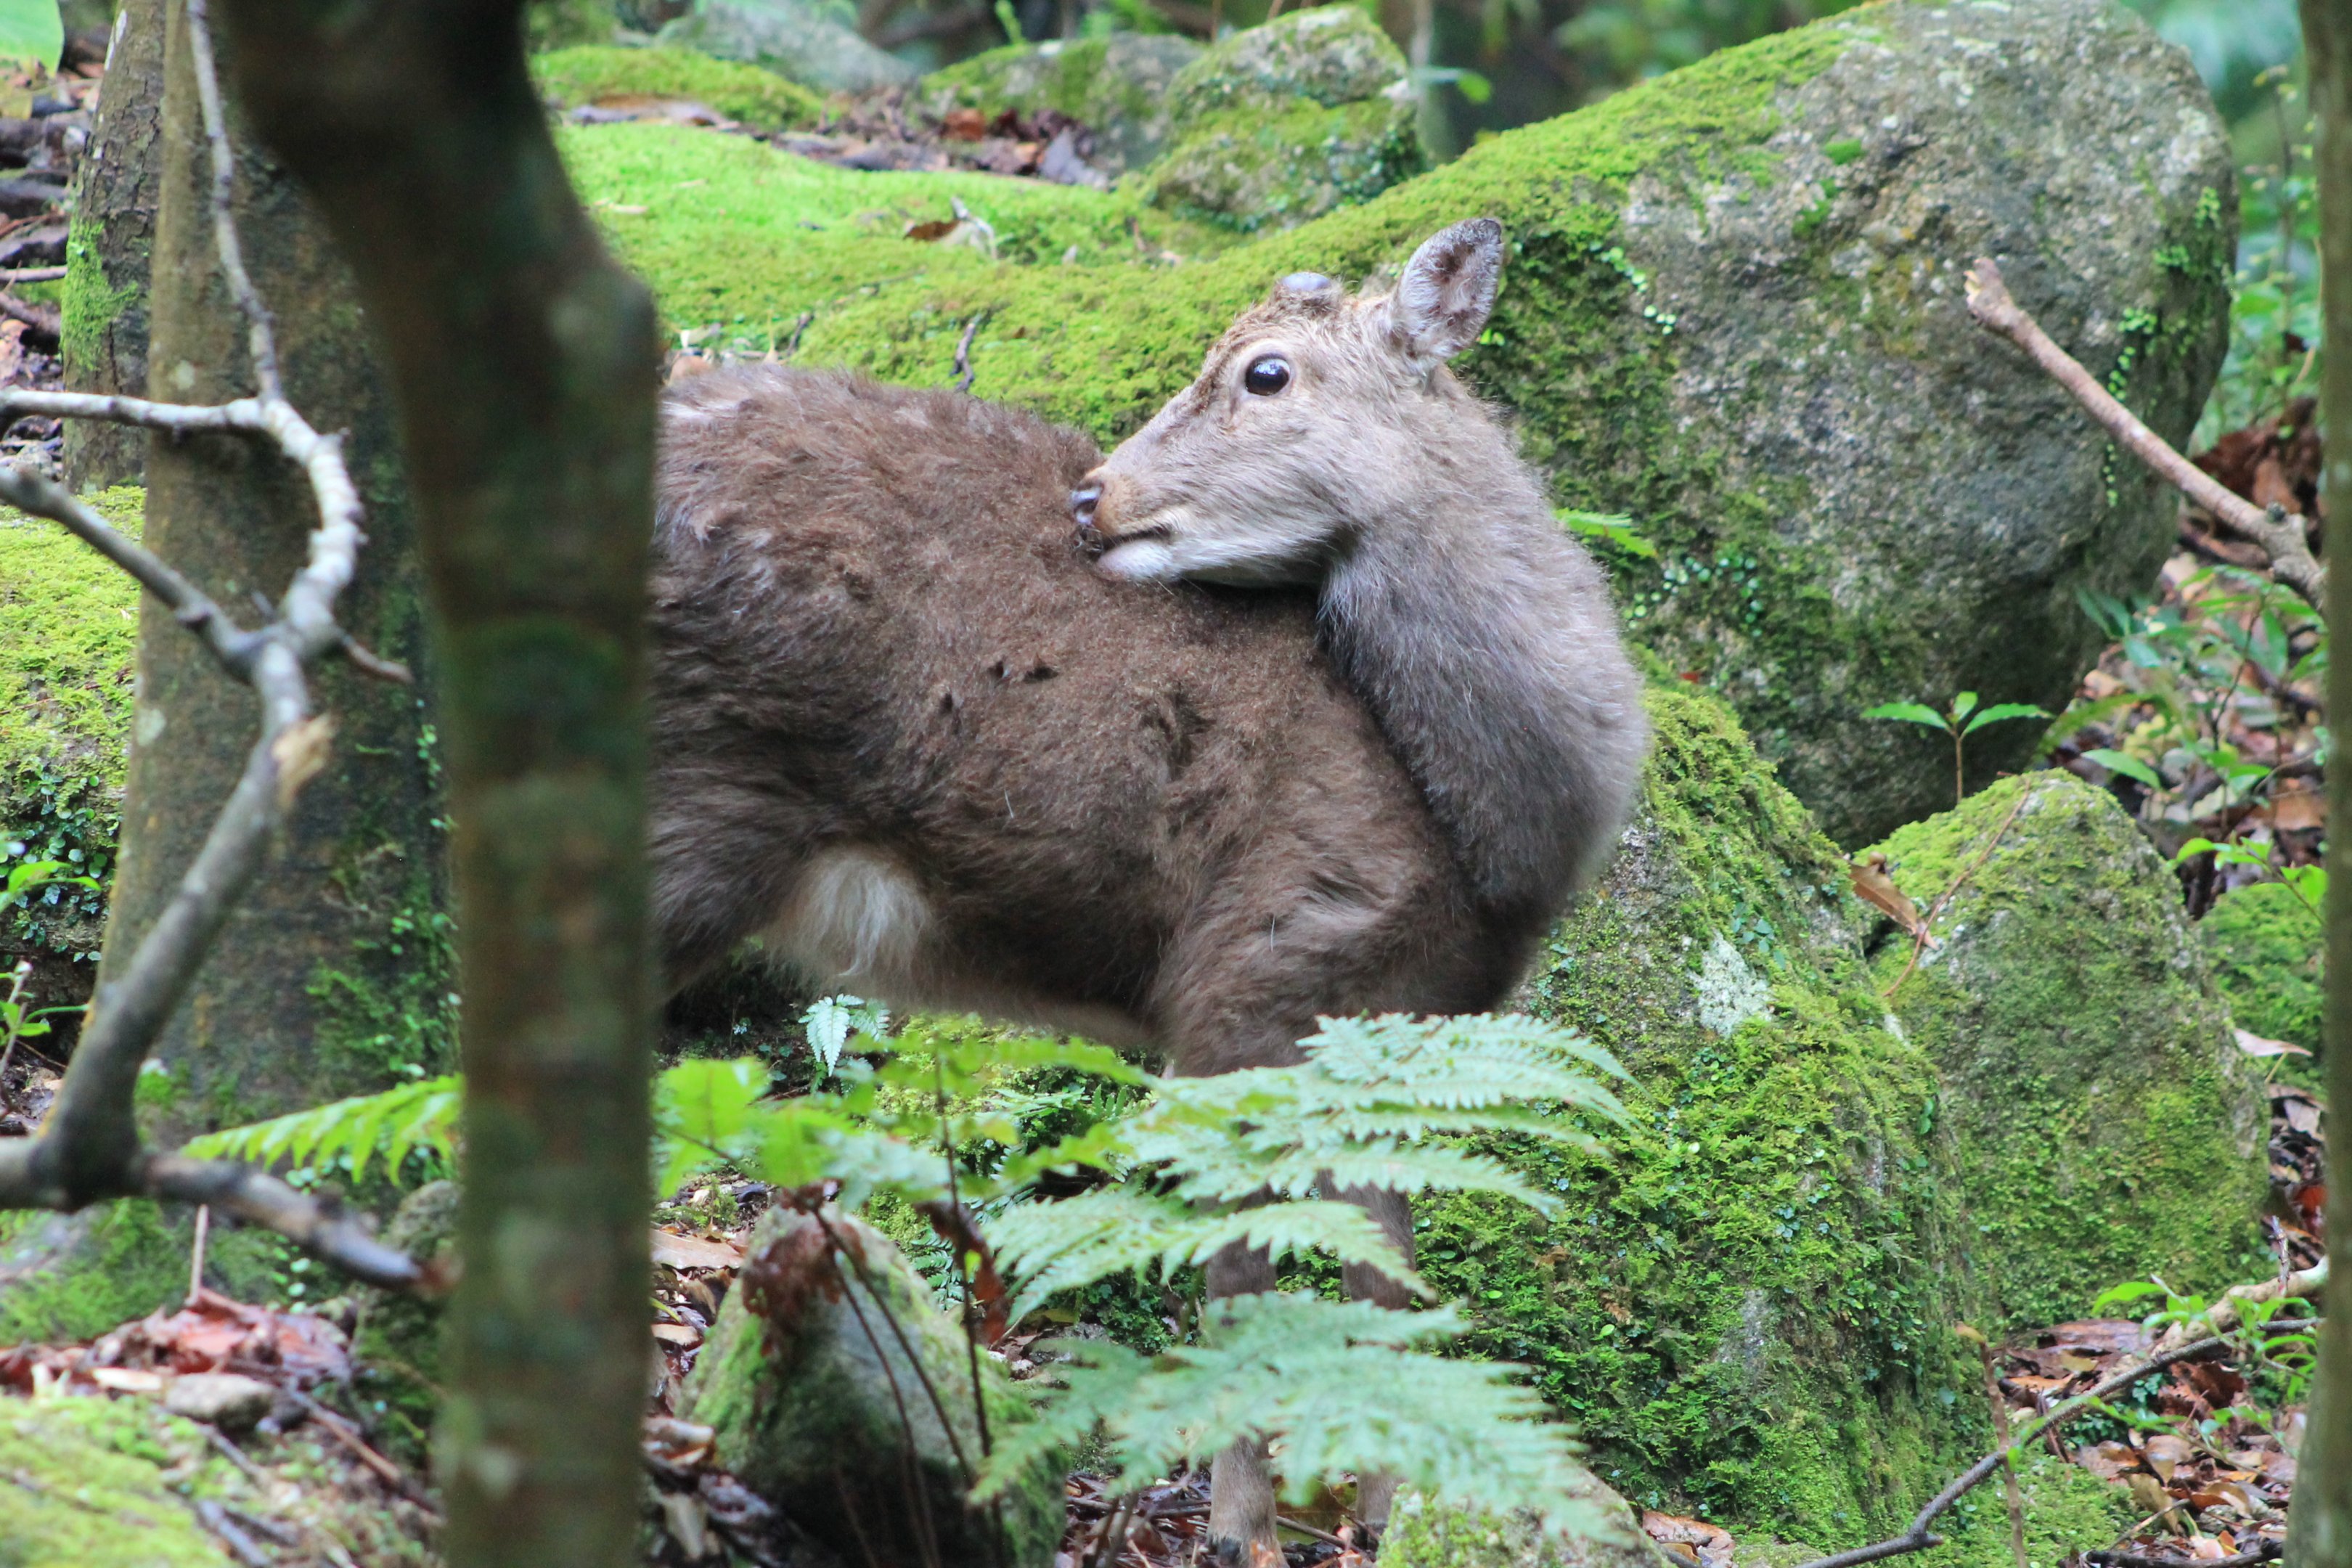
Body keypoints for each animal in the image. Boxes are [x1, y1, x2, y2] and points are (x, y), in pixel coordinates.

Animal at [649, 218, 1648, 1559]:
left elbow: (1386, 1286)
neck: (1489, 828)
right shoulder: (1247, 977)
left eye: (1266, 372)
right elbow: (1243, 1280)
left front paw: (1390, 1516)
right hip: (685, 815)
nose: (1092, 495)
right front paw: (1241, 1528)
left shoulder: (1401, 1037)